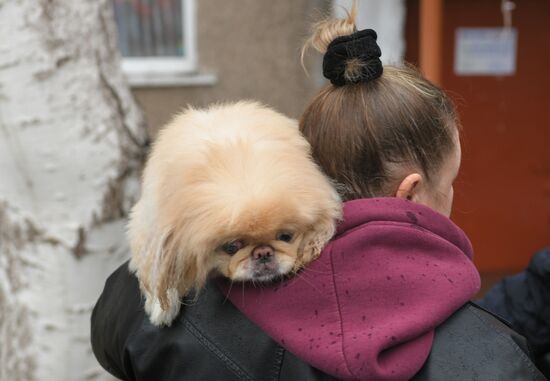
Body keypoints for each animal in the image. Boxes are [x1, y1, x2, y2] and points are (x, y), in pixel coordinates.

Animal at [129, 101, 342, 326]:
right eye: (232, 247)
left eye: (286, 236)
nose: (263, 252)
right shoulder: (152, 223)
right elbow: (157, 268)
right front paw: (161, 308)